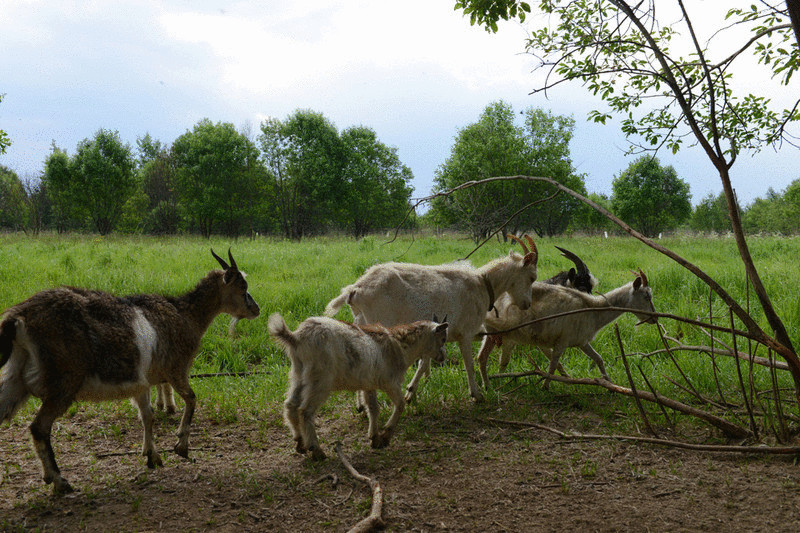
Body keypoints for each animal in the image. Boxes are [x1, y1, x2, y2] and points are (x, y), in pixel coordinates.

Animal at [0, 249, 260, 494]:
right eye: (242, 286)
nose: (256, 309)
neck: (186, 315)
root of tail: (17, 317)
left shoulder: (142, 381)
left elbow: (147, 415)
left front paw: (152, 456)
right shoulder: (176, 368)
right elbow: (191, 399)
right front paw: (181, 446)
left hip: (16, 378)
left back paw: (49, 477)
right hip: (64, 381)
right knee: (39, 427)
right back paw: (60, 481)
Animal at [266, 314, 446, 460]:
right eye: (443, 339)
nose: (443, 357)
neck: (401, 346)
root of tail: (296, 337)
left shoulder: (369, 384)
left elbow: (373, 408)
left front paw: (375, 438)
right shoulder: (390, 382)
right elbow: (400, 404)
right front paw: (386, 435)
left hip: (298, 374)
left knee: (290, 405)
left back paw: (299, 442)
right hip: (319, 379)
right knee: (305, 411)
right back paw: (316, 450)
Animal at [324, 235, 536, 402]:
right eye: (532, 277)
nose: (527, 304)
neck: (483, 285)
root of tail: (355, 290)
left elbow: (424, 362)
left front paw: (412, 392)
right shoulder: (465, 333)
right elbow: (469, 364)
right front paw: (476, 395)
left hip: (360, 321)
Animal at [476, 270, 656, 386]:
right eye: (646, 296)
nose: (655, 318)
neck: (593, 309)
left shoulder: (581, 341)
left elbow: (598, 358)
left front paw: (609, 381)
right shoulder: (562, 341)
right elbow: (553, 365)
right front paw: (545, 387)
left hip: (493, 332)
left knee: (482, 357)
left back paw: (488, 385)